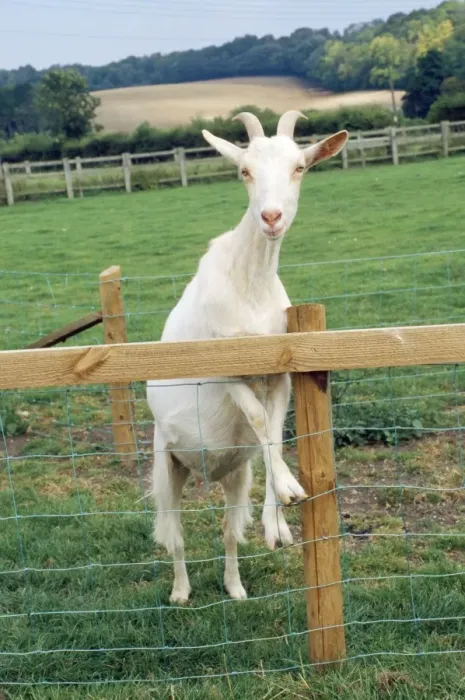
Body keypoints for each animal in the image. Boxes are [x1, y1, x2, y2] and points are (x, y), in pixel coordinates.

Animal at [147, 111, 349, 603]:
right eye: (244, 171)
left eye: (300, 167)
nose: (270, 217)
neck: (250, 284)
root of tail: (205, 470)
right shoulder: (224, 366)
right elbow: (257, 418)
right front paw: (293, 488)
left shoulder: (280, 371)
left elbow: (271, 429)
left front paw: (279, 522)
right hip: (166, 462)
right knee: (175, 534)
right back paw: (180, 592)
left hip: (234, 473)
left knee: (227, 530)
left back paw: (234, 587)